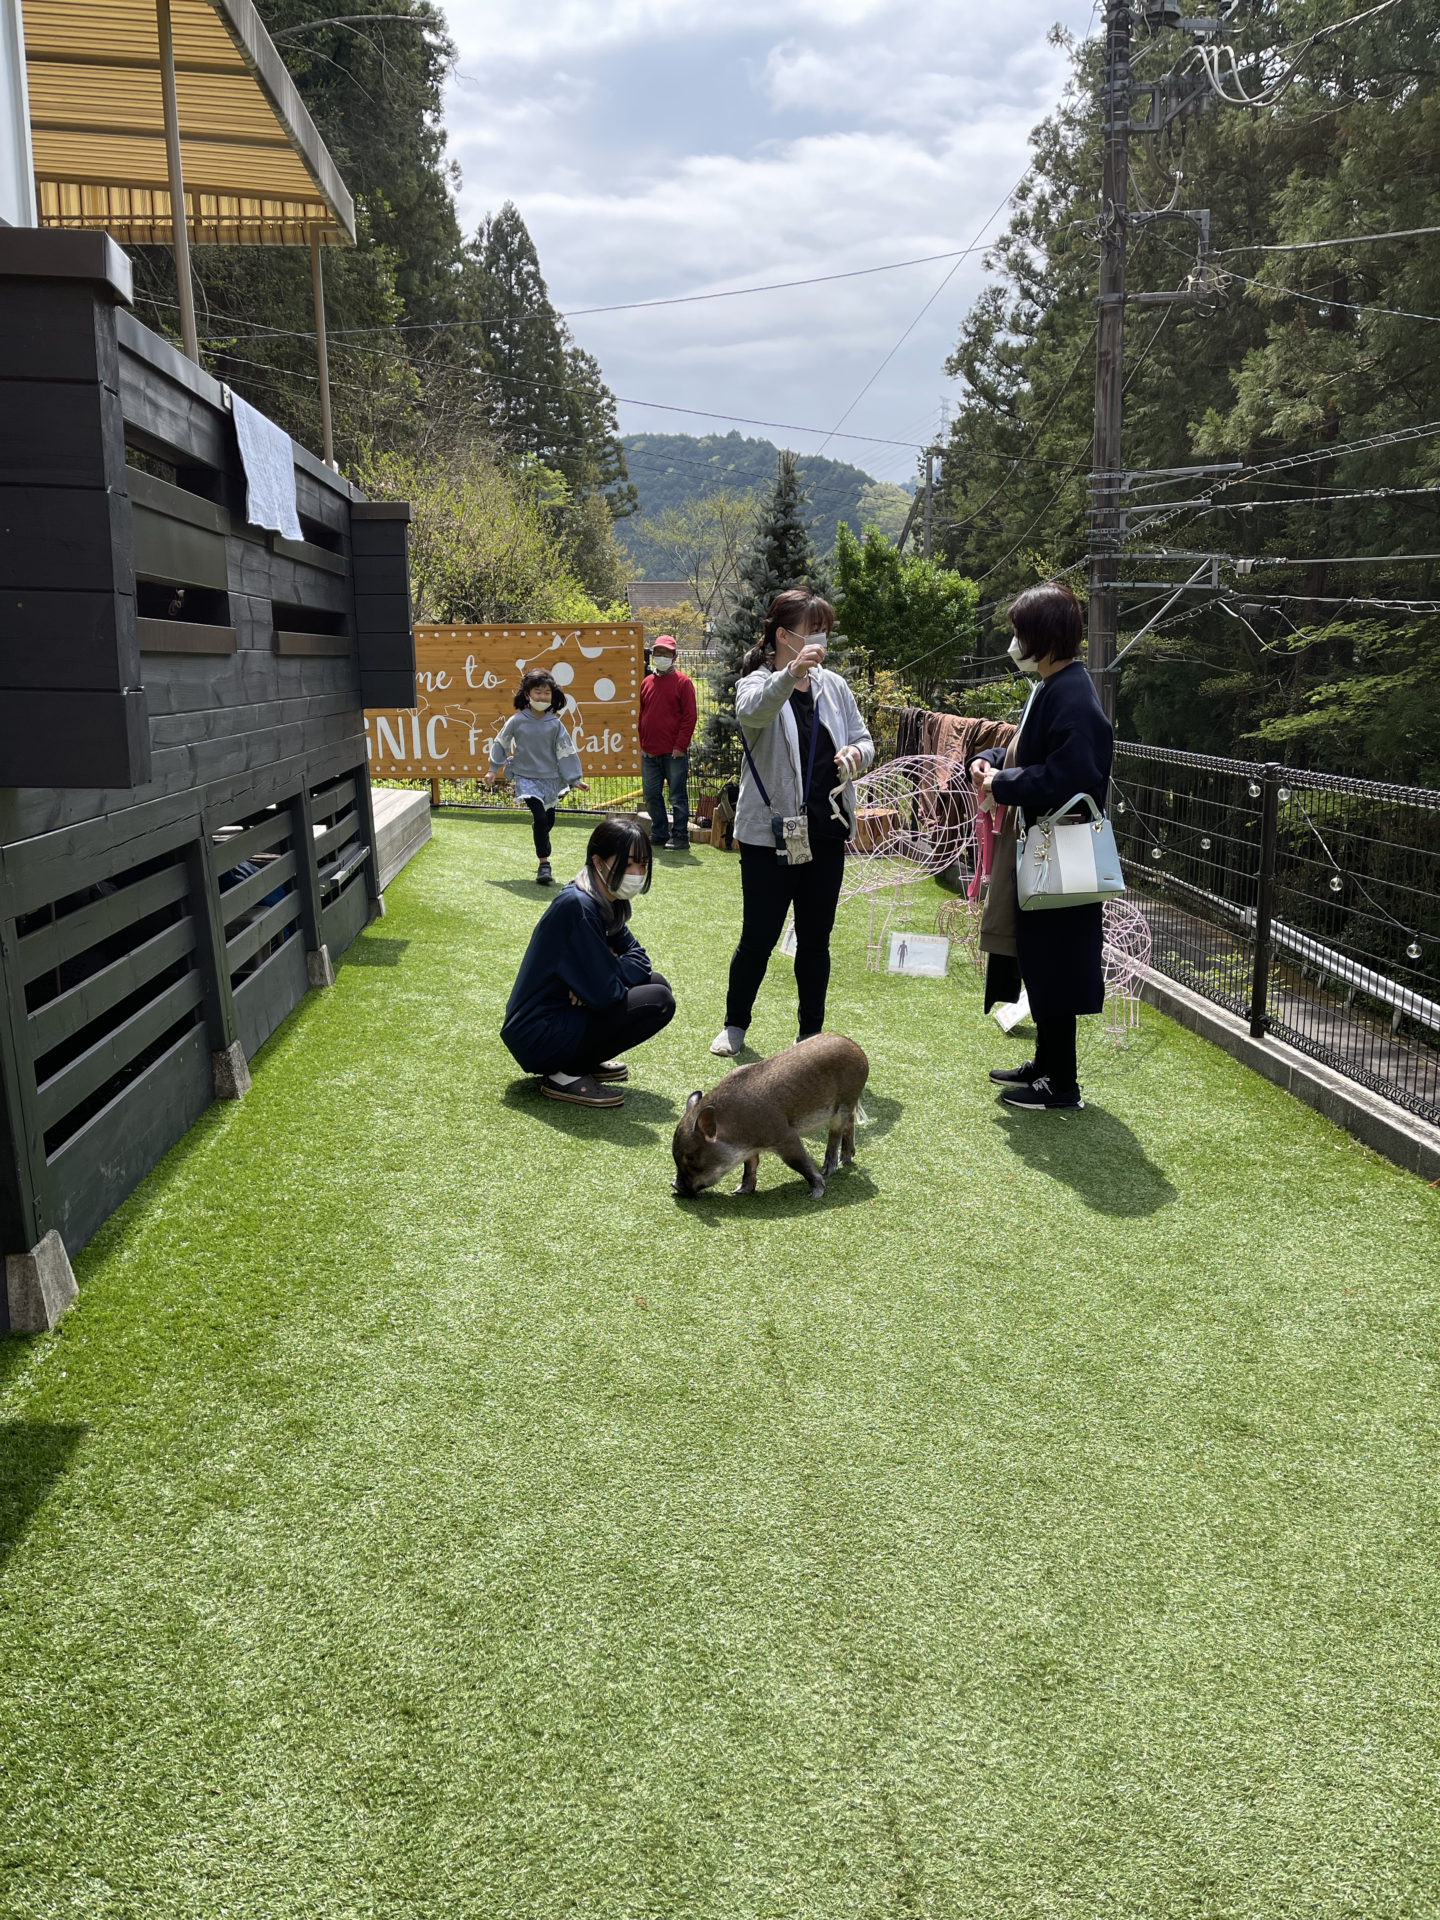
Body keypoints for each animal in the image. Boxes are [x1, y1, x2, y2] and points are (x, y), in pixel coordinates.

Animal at [672, 1034, 869, 1199]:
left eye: (690, 1157)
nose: (674, 1185)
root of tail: (857, 1048)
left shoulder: (786, 1135)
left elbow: (800, 1162)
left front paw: (815, 1194)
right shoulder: (751, 1149)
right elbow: (751, 1165)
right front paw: (739, 1191)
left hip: (845, 1102)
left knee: (835, 1134)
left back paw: (829, 1169)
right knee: (850, 1123)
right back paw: (846, 1159)